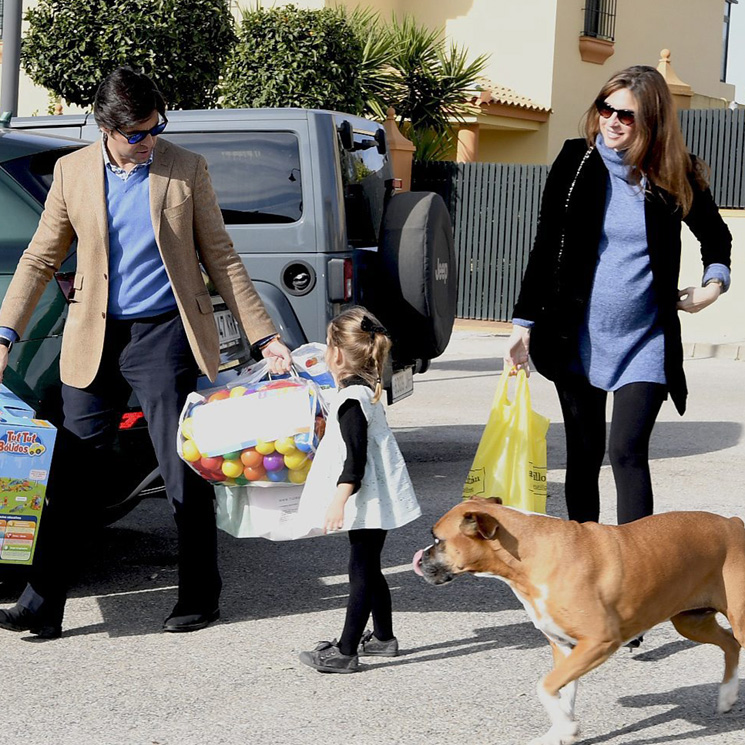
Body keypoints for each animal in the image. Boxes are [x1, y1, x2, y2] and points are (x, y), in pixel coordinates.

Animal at [412, 496, 744, 745]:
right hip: (692, 622)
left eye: (437, 539)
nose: (419, 558)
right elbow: (562, 693)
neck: (529, 555)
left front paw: (567, 729)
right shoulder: (566, 647)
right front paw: (560, 732)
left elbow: (545, 686)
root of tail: (733, 523)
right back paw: (727, 695)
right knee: (730, 644)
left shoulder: (599, 642)